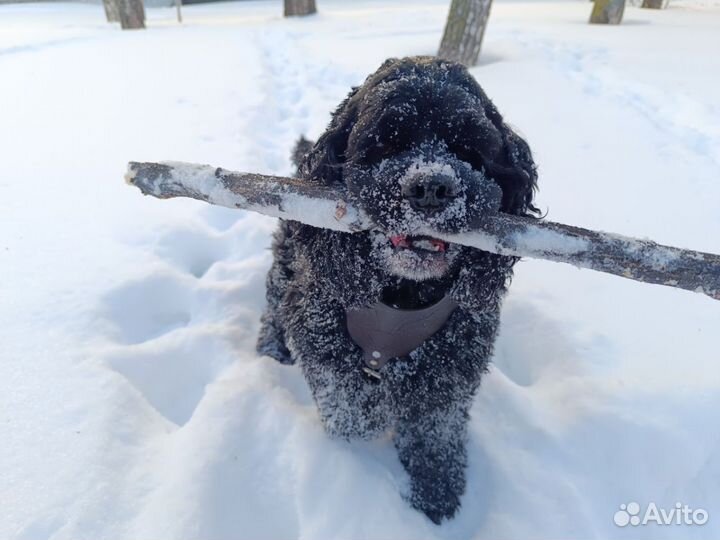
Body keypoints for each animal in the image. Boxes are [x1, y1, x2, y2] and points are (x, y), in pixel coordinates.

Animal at [256, 58, 536, 524]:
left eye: (468, 149)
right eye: (386, 143)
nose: (431, 187)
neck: (403, 298)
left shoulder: (452, 365)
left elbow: (436, 431)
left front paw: (438, 494)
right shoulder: (322, 338)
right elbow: (351, 411)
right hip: (287, 265)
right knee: (273, 307)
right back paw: (270, 350)